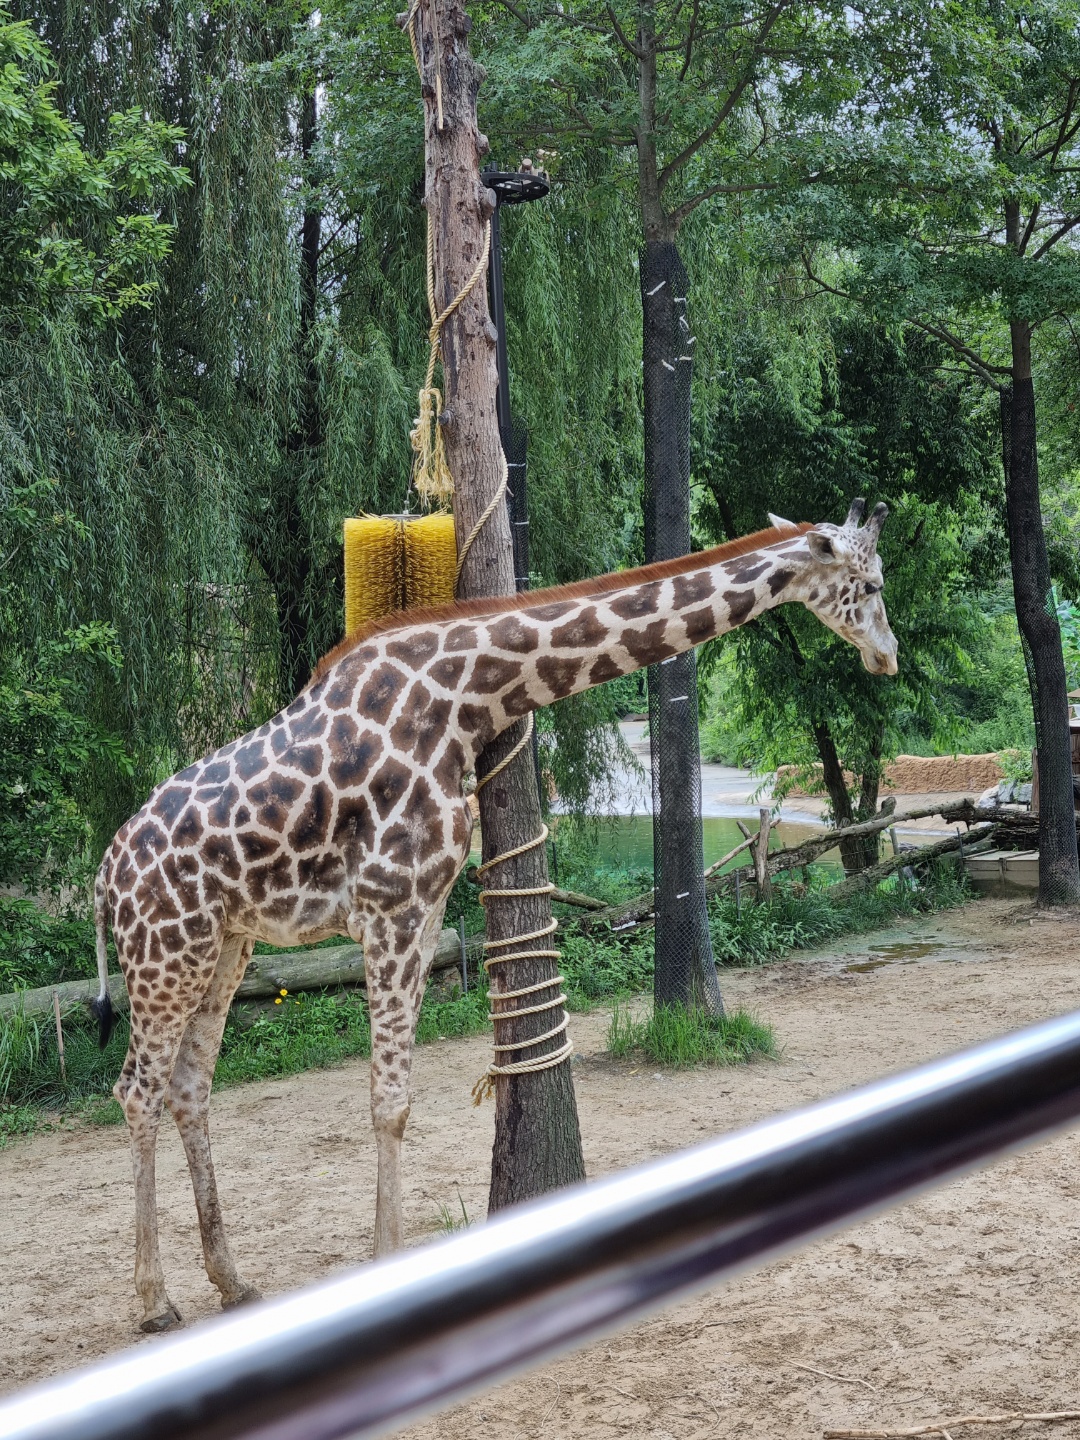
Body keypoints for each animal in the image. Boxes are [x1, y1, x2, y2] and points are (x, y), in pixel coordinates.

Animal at [91, 498, 897, 1332]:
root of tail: (104, 878)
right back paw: (155, 1301)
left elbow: (395, 1096)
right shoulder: (393, 906)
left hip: (224, 948)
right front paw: (385, 1269)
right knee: (136, 1089)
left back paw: (232, 1281)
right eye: (870, 583)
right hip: (166, 952)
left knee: (188, 1087)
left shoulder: (424, 912)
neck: (468, 695)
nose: (889, 657)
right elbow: (389, 1101)